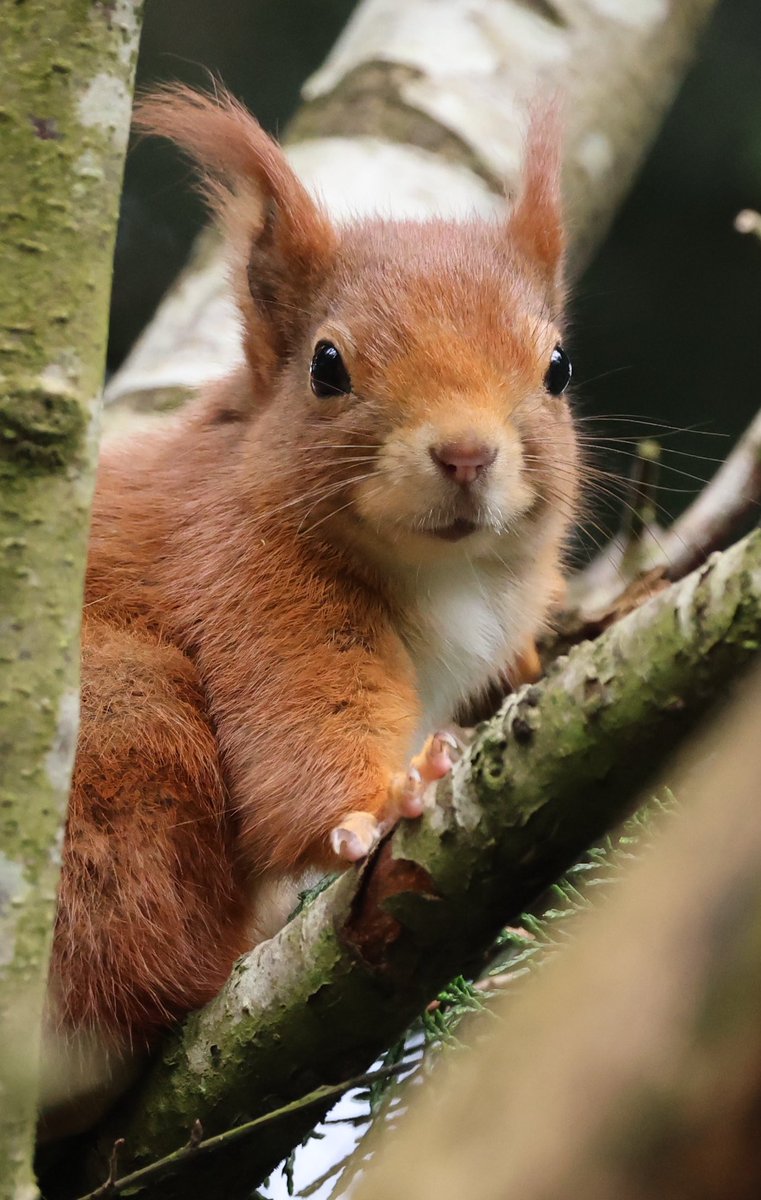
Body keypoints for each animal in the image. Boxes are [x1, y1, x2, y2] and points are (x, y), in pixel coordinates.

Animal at [42, 88, 573, 1128]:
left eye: (558, 368)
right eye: (328, 366)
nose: (465, 453)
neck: (440, 573)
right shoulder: (244, 576)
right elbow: (301, 726)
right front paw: (380, 802)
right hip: (121, 733)